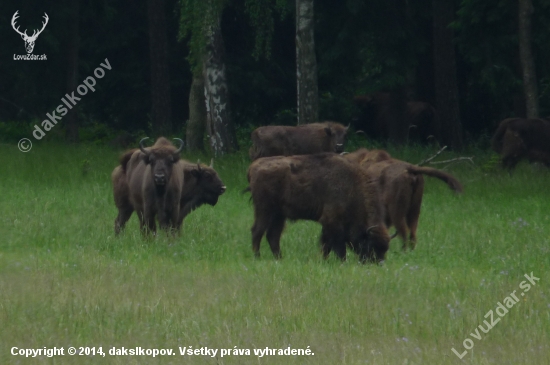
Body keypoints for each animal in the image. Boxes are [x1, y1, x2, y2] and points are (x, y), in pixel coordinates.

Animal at [248, 153, 390, 262]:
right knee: (257, 231)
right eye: (372, 246)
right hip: (264, 211)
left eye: (384, 249)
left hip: (279, 216)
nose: (379, 263)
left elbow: (326, 245)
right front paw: (341, 261)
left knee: (273, 236)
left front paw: (324, 260)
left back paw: (279, 259)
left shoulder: (328, 225)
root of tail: (253, 167)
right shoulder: (332, 222)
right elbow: (336, 246)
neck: (352, 186)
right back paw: (257, 257)